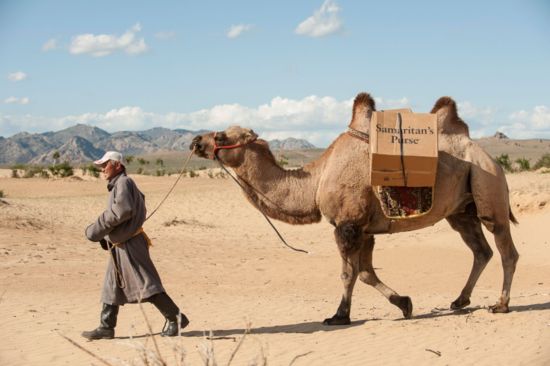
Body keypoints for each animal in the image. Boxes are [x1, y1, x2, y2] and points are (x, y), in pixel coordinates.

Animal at [191, 93, 520, 324]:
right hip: (461, 210)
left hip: (487, 186)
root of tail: (490, 158)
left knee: (506, 248)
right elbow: (365, 273)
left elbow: (349, 273)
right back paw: (460, 301)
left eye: (221, 136)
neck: (316, 180)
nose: (195, 140)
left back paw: (501, 305)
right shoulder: (365, 229)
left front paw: (339, 316)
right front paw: (405, 304)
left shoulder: (347, 225)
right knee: (481, 250)